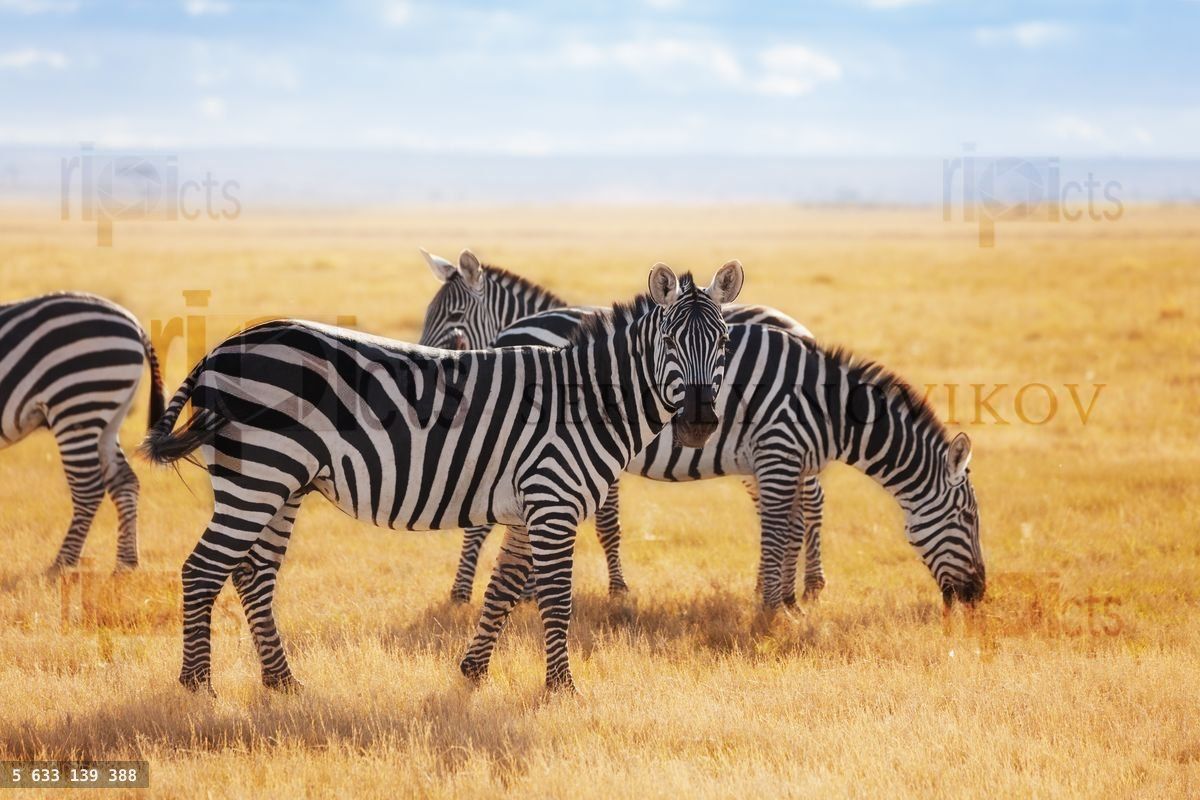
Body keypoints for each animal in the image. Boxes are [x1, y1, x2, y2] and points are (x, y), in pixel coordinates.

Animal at [0, 292, 164, 571]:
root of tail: (134, 324)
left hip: (78, 403)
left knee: (88, 489)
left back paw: (61, 565)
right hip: (108, 417)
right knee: (125, 481)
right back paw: (125, 565)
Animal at [141, 261, 744, 693]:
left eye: (723, 344)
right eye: (669, 344)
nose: (698, 422)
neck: (586, 401)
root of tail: (222, 348)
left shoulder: (527, 508)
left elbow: (503, 588)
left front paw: (472, 672)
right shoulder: (552, 500)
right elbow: (556, 598)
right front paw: (561, 689)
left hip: (279, 483)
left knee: (253, 574)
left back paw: (282, 682)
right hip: (259, 476)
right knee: (203, 570)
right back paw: (198, 688)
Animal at [419, 248, 829, 605]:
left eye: (455, 314)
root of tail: (801, 331)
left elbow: (601, 525)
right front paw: (530, 590)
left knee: (810, 500)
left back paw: (808, 585)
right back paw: (773, 586)